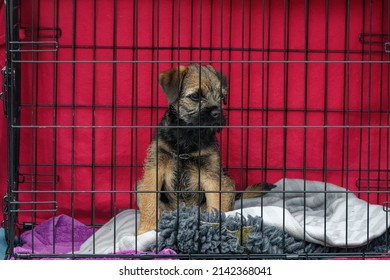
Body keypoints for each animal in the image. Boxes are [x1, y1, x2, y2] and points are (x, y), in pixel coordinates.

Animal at [136, 65, 272, 234]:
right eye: (195, 96)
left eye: (222, 97)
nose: (217, 113)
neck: (187, 137)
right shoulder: (155, 166)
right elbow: (150, 201)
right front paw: (145, 231)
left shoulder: (211, 176)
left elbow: (216, 204)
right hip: (139, 186)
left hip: (227, 184)